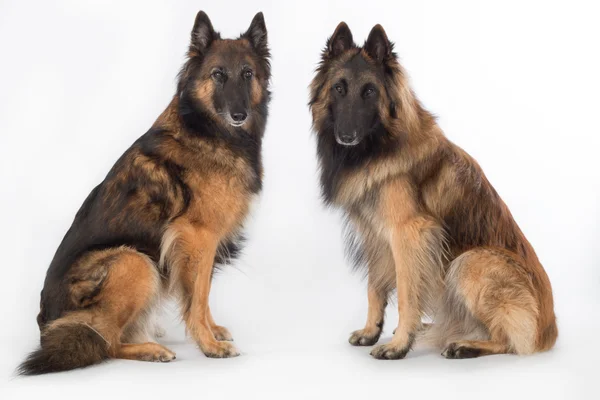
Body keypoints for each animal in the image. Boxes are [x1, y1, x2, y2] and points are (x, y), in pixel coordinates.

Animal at [18, 11, 272, 376]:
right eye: (218, 74)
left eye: (248, 74)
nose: (239, 115)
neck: (206, 128)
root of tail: (44, 323)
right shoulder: (197, 237)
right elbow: (197, 297)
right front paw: (209, 344)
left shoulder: (203, 244)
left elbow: (202, 293)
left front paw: (213, 330)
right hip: (135, 261)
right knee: (106, 343)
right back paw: (151, 350)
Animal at [310, 21, 556, 360]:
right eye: (339, 88)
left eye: (369, 91)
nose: (346, 136)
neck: (381, 144)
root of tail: (550, 332)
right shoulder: (375, 234)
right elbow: (374, 287)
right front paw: (373, 331)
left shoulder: (409, 234)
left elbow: (406, 293)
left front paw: (399, 345)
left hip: (471, 262)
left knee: (508, 341)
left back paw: (465, 345)